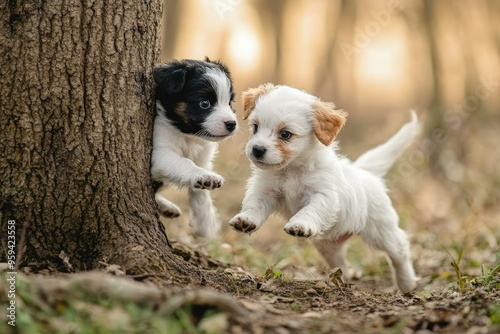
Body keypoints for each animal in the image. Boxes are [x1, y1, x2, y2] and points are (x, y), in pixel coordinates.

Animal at [151, 58, 237, 239]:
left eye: (229, 102)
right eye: (204, 103)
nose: (232, 124)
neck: (188, 136)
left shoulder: (203, 159)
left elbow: (202, 194)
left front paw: (206, 224)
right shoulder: (159, 153)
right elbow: (185, 163)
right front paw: (206, 176)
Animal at [230, 84, 418, 292]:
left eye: (285, 134)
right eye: (255, 127)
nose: (257, 149)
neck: (292, 169)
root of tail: (363, 172)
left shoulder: (323, 195)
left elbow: (310, 210)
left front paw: (300, 224)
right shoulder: (265, 191)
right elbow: (254, 206)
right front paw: (246, 219)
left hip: (381, 230)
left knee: (399, 250)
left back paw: (406, 282)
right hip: (328, 245)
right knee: (340, 263)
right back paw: (339, 281)